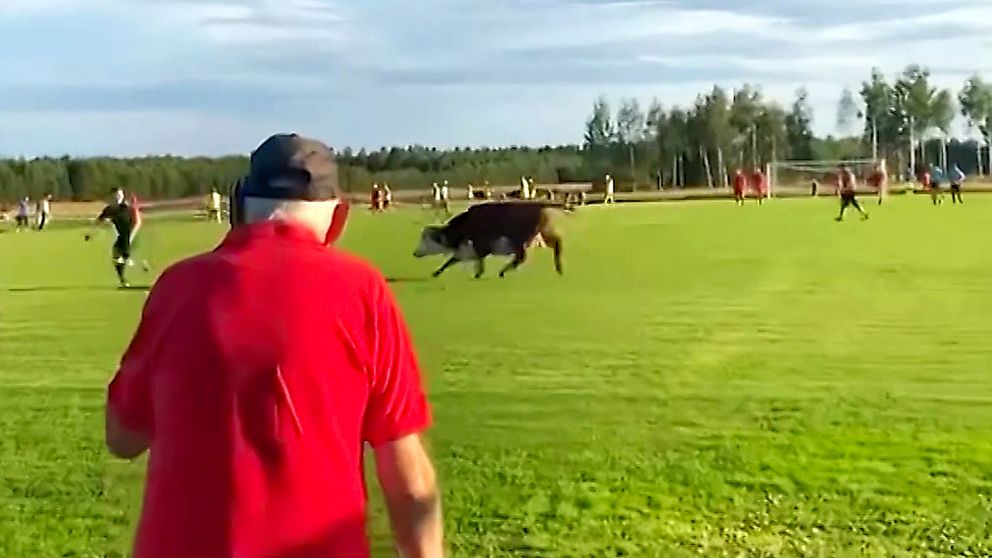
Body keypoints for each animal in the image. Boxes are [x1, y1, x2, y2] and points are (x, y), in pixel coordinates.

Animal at [412, 201, 564, 280]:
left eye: (426, 240)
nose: (415, 253)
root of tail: (538, 205)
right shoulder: (467, 248)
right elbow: (452, 260)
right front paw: (436, 273)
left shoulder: (480, 244)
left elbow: (478, 259)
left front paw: (478, 273)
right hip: (543, 232)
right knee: (556, 244)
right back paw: (559, 269)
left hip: (519, 239)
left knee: (521, 257)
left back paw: (502, 272)